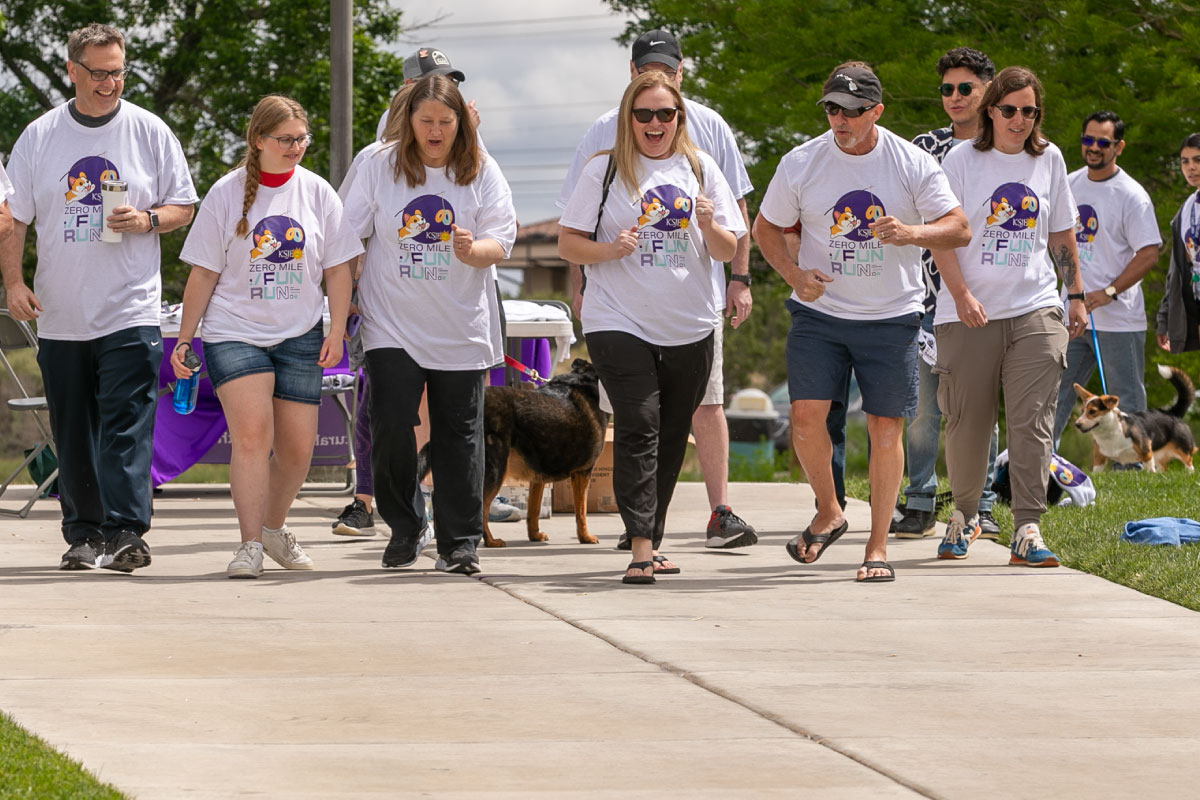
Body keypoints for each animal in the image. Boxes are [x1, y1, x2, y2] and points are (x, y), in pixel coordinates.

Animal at [422, 359, 609, 546]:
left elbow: (533, 510)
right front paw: (585, 537)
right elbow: (581, 512)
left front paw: (535, 536)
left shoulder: (538, 478)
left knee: (441, 495)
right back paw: (490, 541)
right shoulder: (582, 473)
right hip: (495, 470)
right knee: (481, 507)